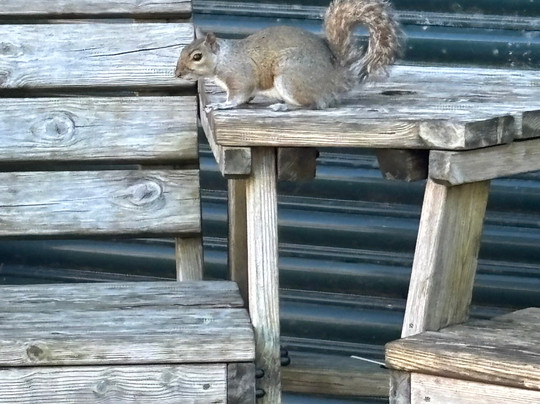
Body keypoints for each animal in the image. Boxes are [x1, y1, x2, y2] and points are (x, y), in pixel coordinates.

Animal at [175, 0, 401, 111]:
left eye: (197, 57)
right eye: (182, 50)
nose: (177, 73)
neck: (222, 58)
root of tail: (335, 79)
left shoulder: (240, 76)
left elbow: (239, 94)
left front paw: (222, 105)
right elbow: (247, 96)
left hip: (290, 78)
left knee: (313, 104)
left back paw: (284, 106)